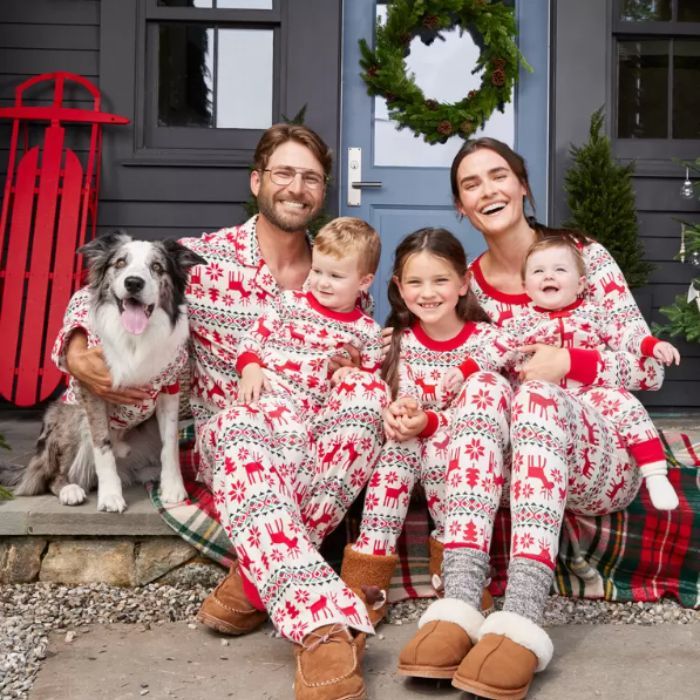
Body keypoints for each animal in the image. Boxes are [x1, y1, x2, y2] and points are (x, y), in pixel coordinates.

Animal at [10, 232, 205, 512]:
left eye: (157, 267)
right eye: (120, 263)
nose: (133, 283)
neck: (135, 339)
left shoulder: (170, 388)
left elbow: (169, 444)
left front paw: (173, 488)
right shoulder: (92, 389)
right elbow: (102, 447)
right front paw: (110, 496)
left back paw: (149, 474)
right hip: (72, 418)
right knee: (53, 475)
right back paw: (70, 489)